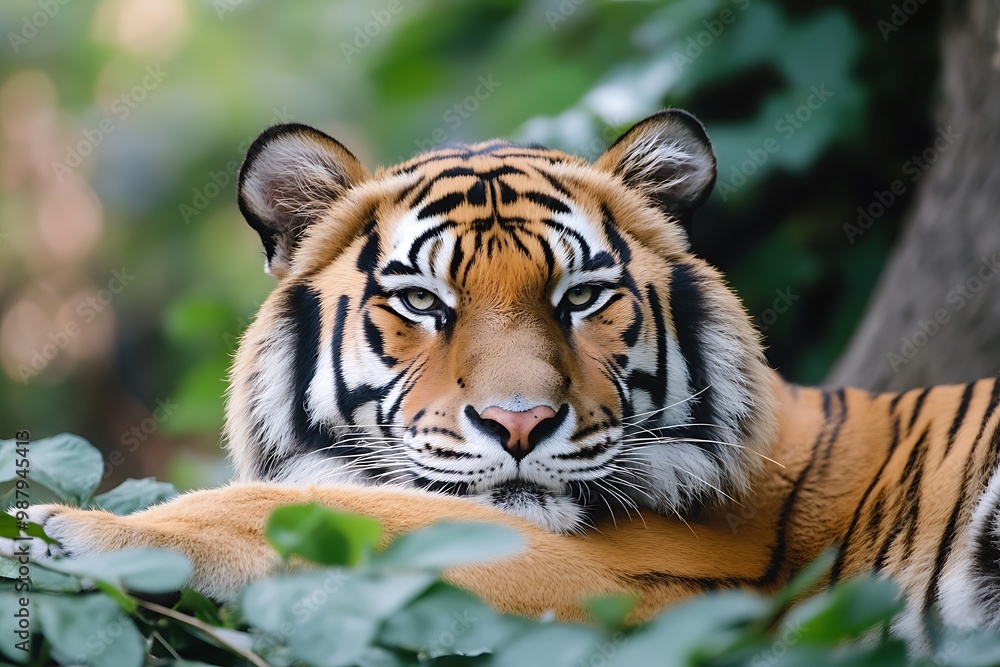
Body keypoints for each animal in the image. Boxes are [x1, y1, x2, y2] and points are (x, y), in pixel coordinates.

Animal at [3, 109, 1000, 643]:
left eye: (581, 296)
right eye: (422, 301)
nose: (520, 424)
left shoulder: (643, 582)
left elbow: (319, 510)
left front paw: (67, 524)